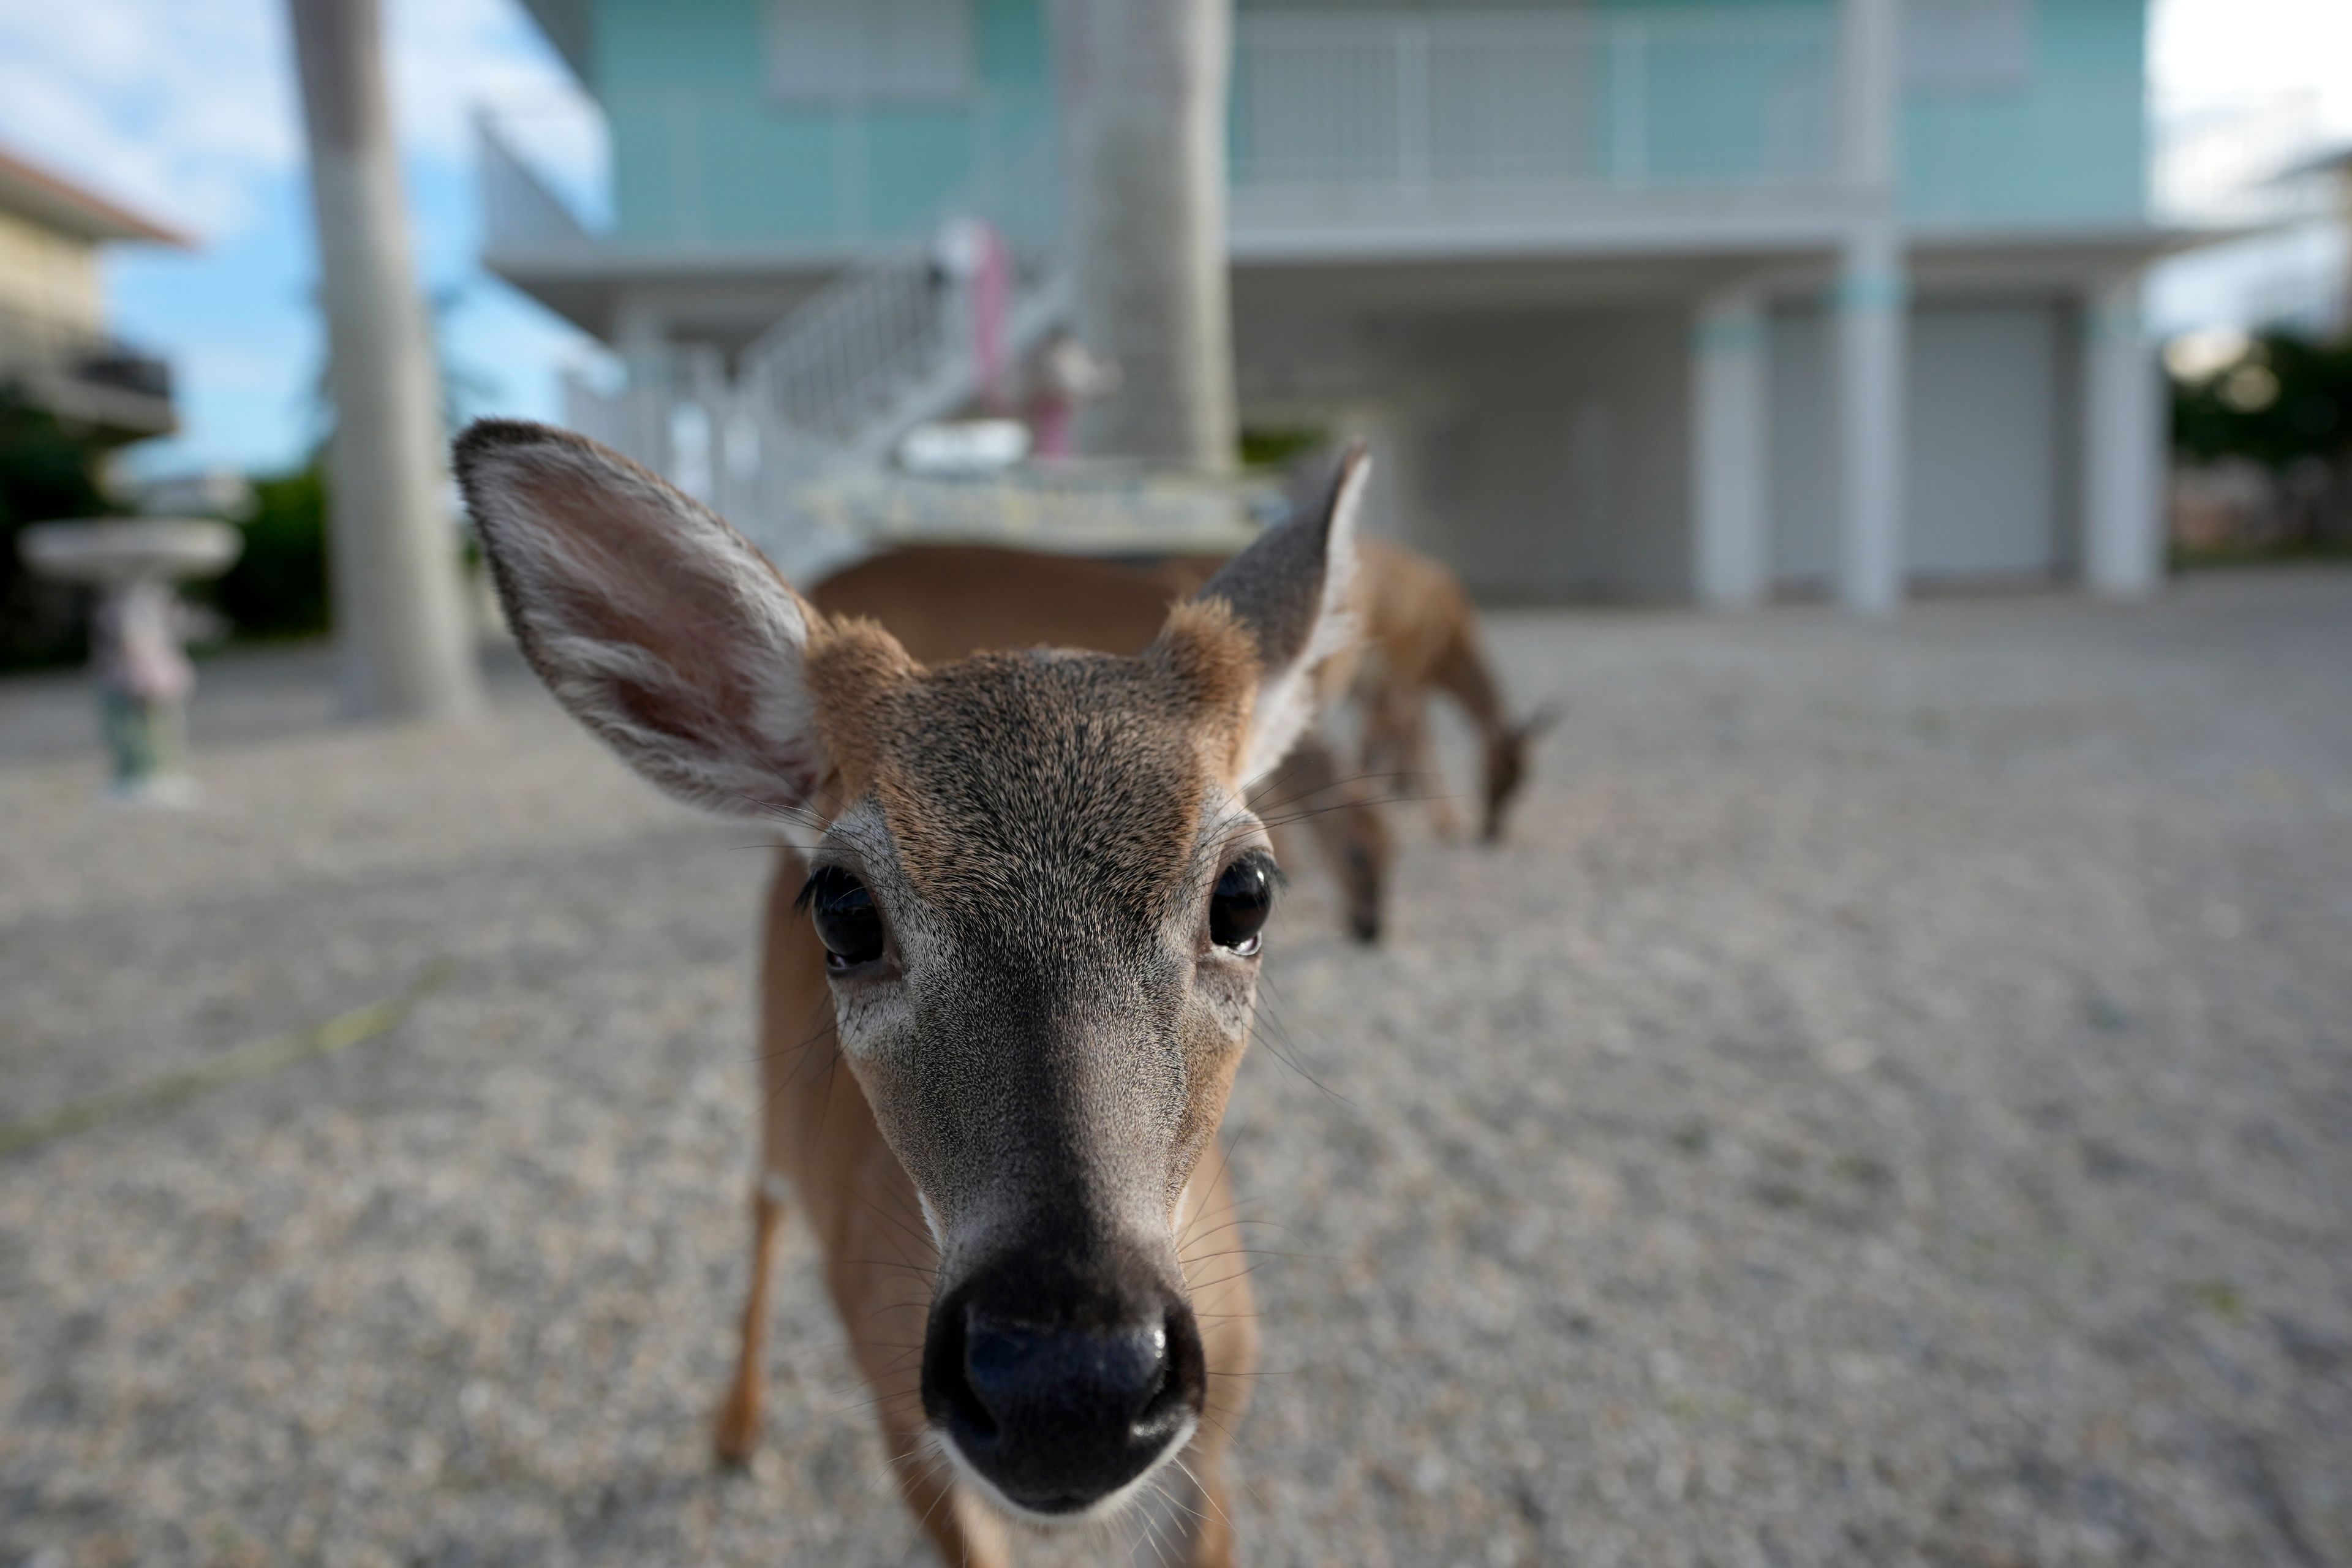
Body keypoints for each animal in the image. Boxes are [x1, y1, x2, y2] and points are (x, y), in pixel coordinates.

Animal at [454, 416, 1373, 1568]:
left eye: (1246, 891)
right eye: (843, 908)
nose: (1065, 1387)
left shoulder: (1219, 1430)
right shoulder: (899, 1415)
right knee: (761, 1207)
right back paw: (733, 1428)